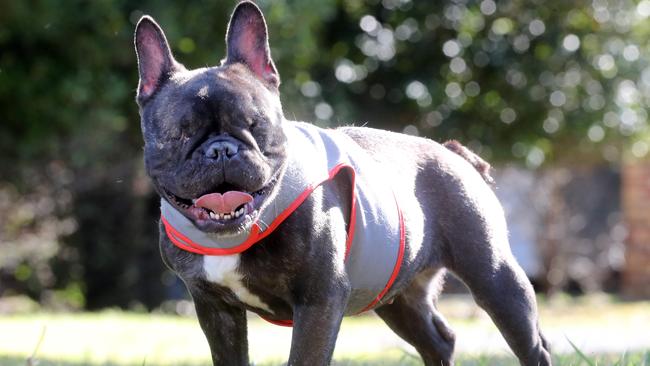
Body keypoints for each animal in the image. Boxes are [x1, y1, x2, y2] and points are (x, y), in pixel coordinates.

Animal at [134, 1, 548, 364]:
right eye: (181, 135)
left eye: (255, 125)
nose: (221, 150)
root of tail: (453, 153)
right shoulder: (214, 309)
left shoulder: (319, 301)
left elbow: (303, 359)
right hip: (396, 297)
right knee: (438, 341)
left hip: (494, 278)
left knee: (532, 345)